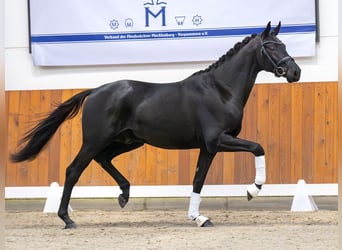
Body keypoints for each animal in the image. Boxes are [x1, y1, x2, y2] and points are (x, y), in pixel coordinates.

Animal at [10, 22, 300, 229]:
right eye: (272, 47)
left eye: (283, 44)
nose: (295, 72)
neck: (220, 90)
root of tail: (94, 91)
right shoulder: (218, 140)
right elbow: (258, 147)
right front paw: (253, 190)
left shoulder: (208, 147)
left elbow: (198, 180)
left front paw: (198, 218)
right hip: (95, 141)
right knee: (73, 170)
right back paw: (67, 219)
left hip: (128, 141)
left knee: (104, 160)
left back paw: (124, 195)